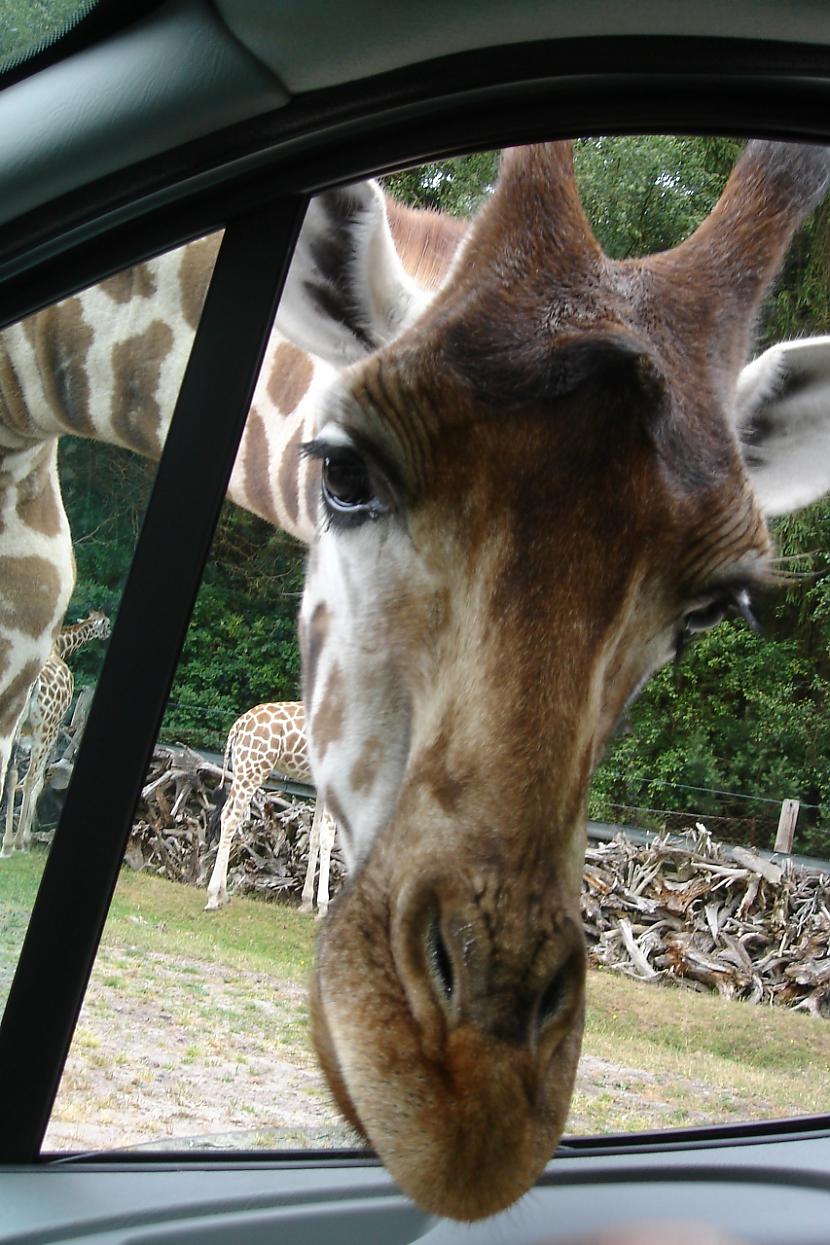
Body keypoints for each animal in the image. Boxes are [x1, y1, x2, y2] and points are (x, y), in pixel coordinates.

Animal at [0, 610, 111, 856]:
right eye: (107, 624)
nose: (108, 634)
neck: (60, 646)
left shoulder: (25, 734)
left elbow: (18, 777)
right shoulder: (50, 731)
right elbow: (38, 780)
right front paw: (25, 838)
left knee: (11, 773)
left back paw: (8, 842)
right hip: (45, 730)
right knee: (31, 777)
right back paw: (17, 842)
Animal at [205, 702, 338, 916]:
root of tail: (237, 726)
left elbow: (315, 836)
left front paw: (307, 903)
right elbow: (328, 838)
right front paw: (323, 908)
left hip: (242, 771)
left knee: (227, 815)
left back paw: (223, 895)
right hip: (253, 769)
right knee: (231, 818)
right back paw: (212, 897)